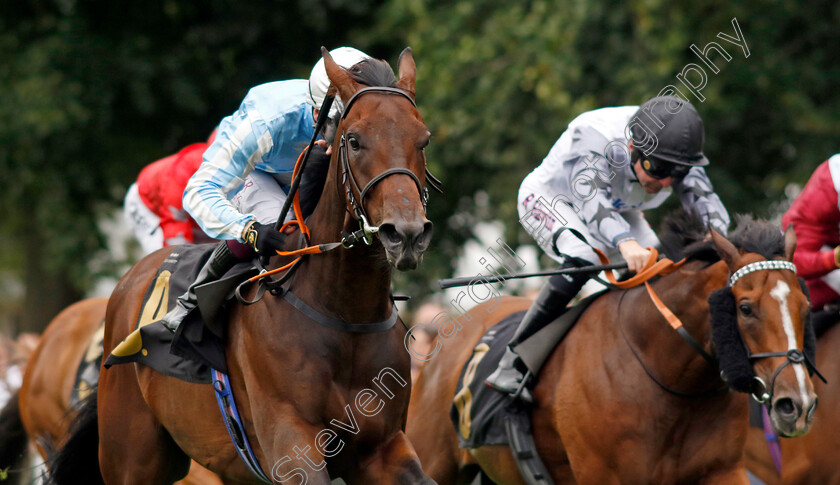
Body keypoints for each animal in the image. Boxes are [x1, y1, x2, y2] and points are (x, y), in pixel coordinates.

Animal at [53, 46, 436, 484]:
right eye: (354, 140)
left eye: (424, 140)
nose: (406, 233)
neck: (344, 314)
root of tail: (130, 280)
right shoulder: (293, 446)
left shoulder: (383, 447)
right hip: (131, 455)